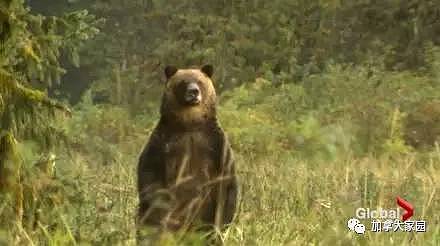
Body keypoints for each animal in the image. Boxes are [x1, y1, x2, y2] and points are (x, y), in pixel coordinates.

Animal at [138, 64, 239, 237]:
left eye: (199, 81)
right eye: (183, 82)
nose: (193, 92)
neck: (189, 123)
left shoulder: (216, 145)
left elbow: (226, 184)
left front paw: (221, 224)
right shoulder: (163, 143)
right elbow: (150, 176)